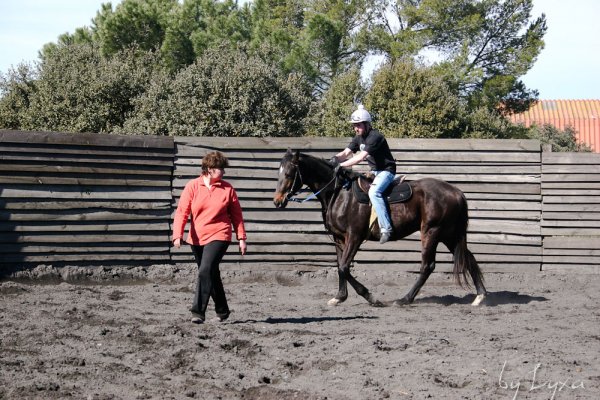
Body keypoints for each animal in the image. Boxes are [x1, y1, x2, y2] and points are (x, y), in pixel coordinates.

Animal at [274, 149, 488, 306]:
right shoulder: (339, 238)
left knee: (428, 266)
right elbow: (341, 266)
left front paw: (371, 297)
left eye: (289, 173)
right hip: (449, 235)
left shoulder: (354, 236)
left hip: (432, 232)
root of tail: (456, 192)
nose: (277, 201)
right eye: (279, 172)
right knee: (468, 258)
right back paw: (480, 296)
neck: (339, 193)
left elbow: (344, 267)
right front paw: (340, 297)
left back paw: (405, 299)